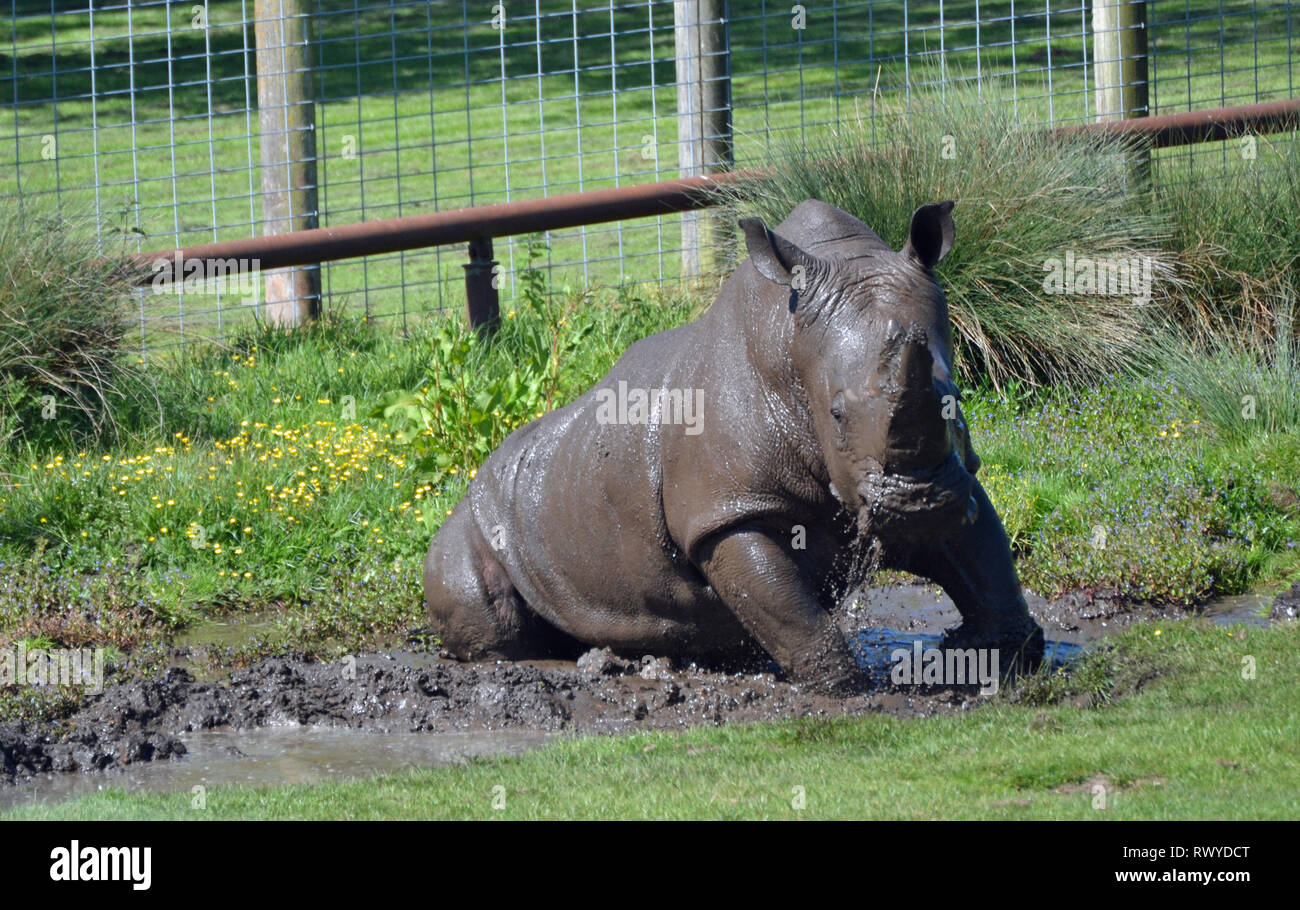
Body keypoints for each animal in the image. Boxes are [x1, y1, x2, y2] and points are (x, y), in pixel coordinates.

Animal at [423, 199, 1044, 693]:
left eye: (955, 397)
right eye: (836, 414)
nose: (918, 506)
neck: (788, 346)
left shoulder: (953, 477)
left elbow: (984, 553)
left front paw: (1000, 655)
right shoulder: (725, 510)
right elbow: (783, 604)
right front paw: (849, 688)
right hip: (474, 517)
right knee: (492, 611)